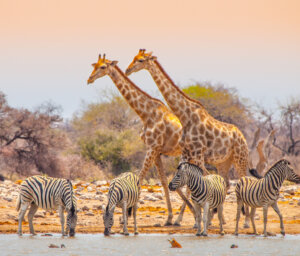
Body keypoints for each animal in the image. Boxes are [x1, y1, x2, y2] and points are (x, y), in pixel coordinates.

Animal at [86, 53, 195, 225]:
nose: (89, 79)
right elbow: (163, 181)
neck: (146, 114)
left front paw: (126, 216)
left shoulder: (152, 148)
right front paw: (169, 217)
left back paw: (183, 218)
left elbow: (140, 178)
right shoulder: (156, 151)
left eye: (102, 67)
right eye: (94, 66)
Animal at [125, 49, 252, 227]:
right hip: (224, 162)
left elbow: (202, 182)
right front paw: (201, 218)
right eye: (134, 58)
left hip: (240, 159)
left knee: (243, 181)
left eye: (141, 60)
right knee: (226, 182)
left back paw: (245, 221)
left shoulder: (197, 154)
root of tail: (242, 136)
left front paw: (203, 217)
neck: (185, 116)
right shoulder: (188, 154)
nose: (128, 70)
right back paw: (218, 217)